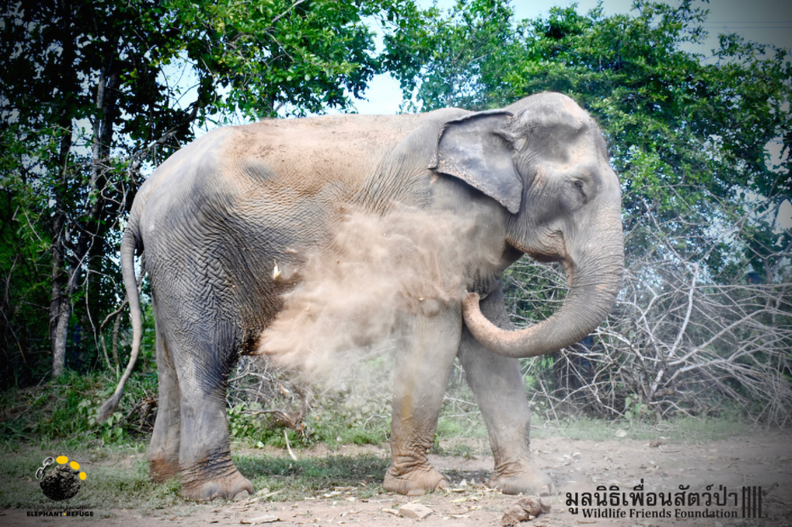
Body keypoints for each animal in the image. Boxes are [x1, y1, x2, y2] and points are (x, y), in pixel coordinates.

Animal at [100, 92, 623, 501]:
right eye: (578, 188)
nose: (469, 298)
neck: (496, 117)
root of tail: (142, 199)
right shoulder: (429, 220)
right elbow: (433, 337)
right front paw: (422, 488)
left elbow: (491, 353)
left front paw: (530, 488)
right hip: (194, 255)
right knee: (206, 360)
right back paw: (223, 492)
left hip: (173, 264)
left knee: (170, 363)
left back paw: (166, 479)